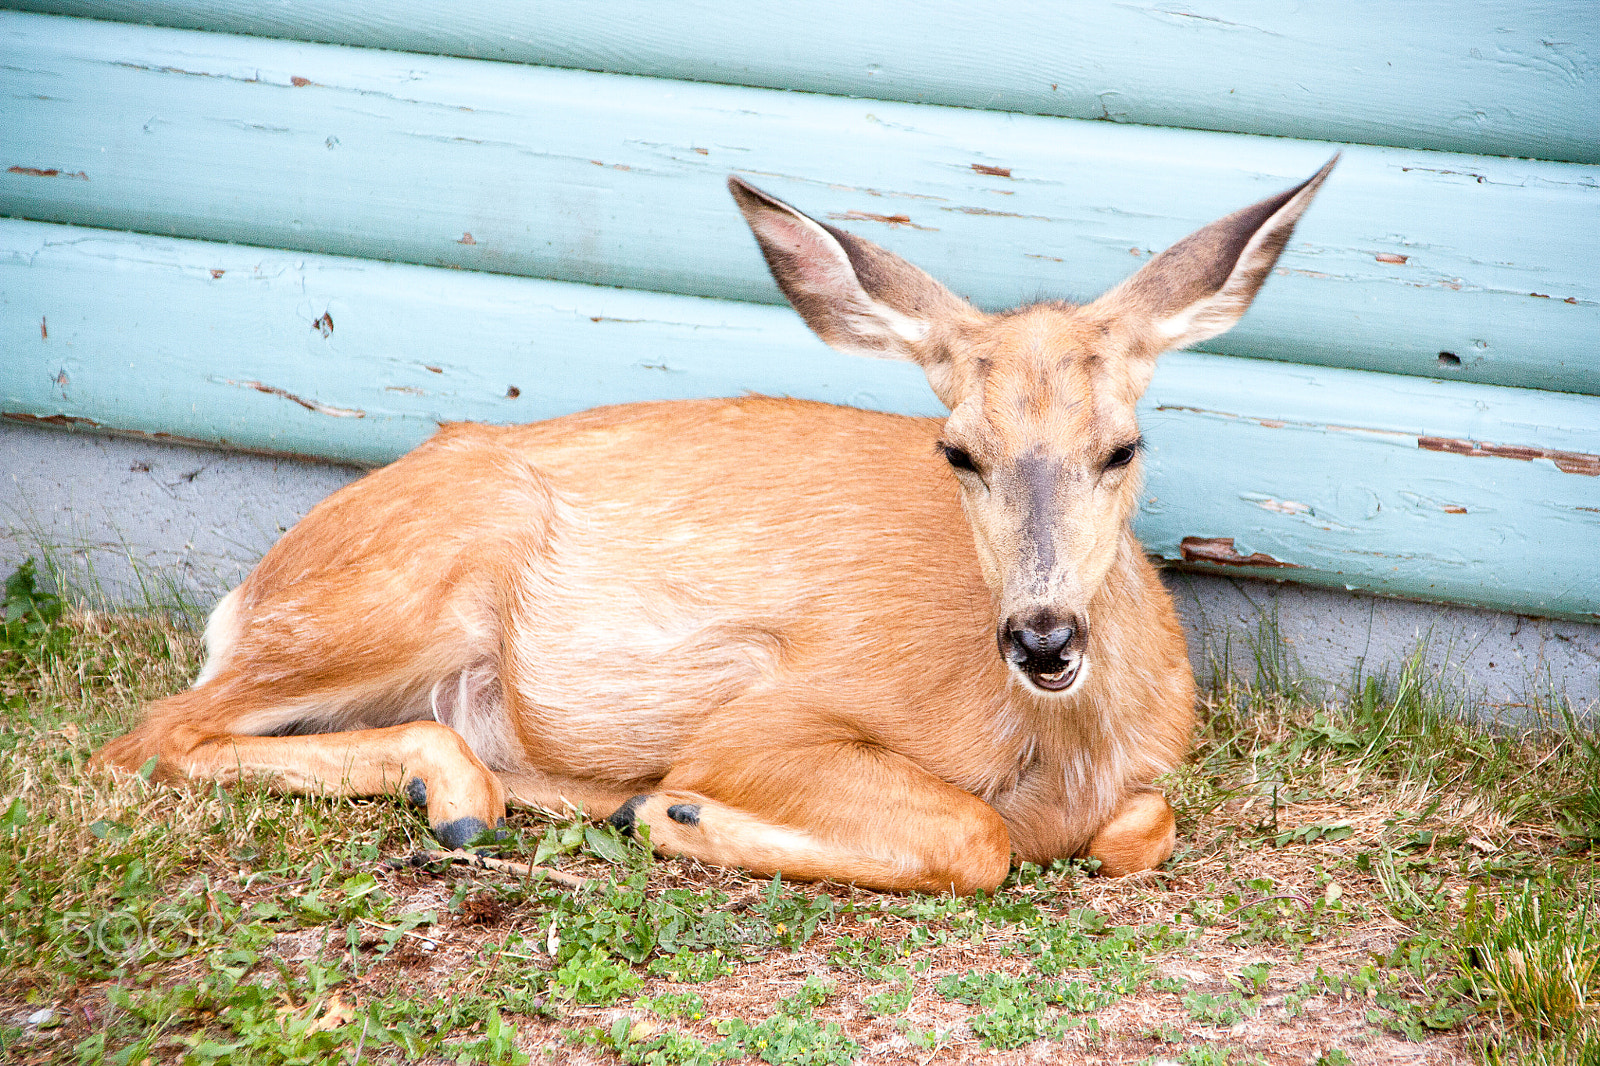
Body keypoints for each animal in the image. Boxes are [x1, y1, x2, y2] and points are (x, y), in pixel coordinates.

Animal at [93, 158, 1336, 894]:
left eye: (1121, 446)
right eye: (957, 451)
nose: (1042, 637)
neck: (1061, 751)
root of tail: (247, 595)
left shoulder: (1145, 778)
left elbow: (1142, 827)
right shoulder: (769, 716)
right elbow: (974, 839)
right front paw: (681, 812)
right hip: (410, 582)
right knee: (147, 735)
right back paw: (475, 798)